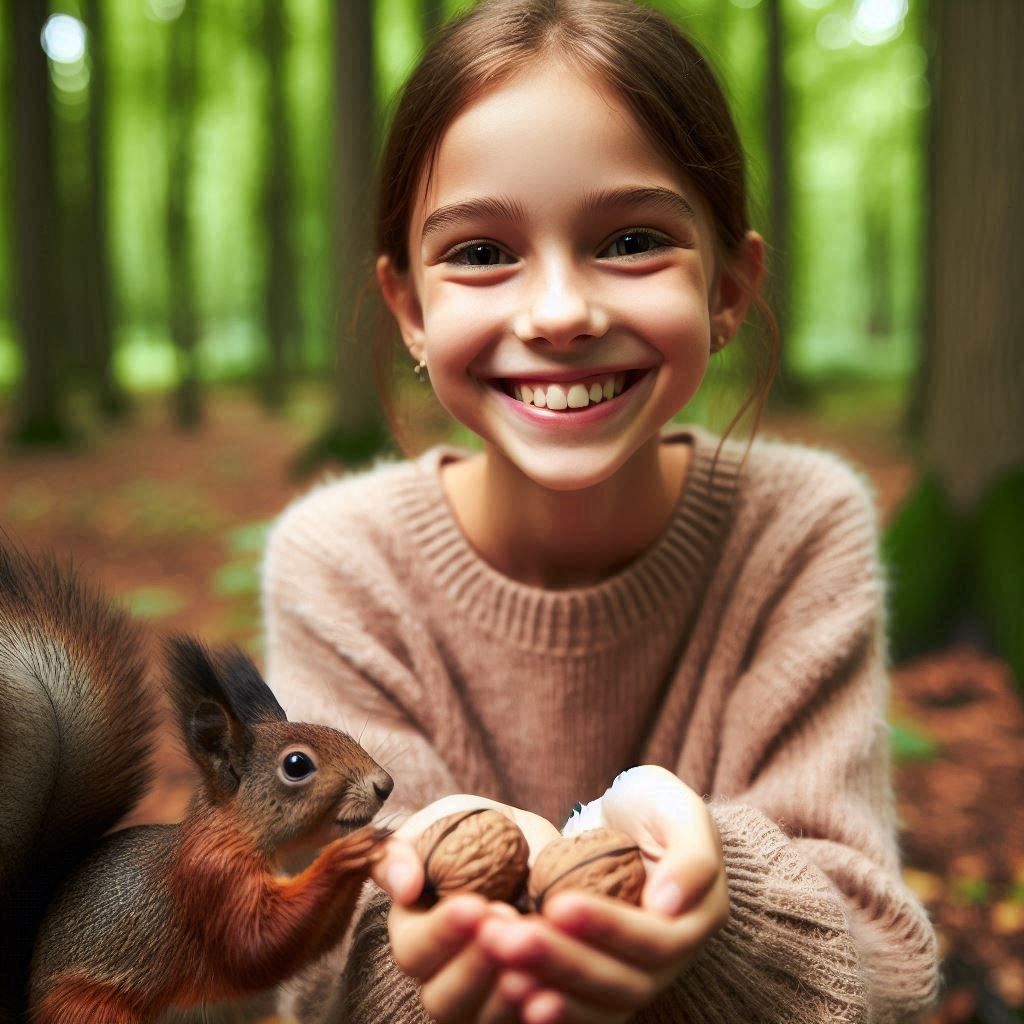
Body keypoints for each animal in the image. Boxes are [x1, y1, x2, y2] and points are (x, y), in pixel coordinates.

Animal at [0, 543, 394, 1024]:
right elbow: (256, 944)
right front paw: (346, 857)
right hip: (92, 1010)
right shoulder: (212, 879)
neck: (283, 851)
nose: (385, 785)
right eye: (297, 765)